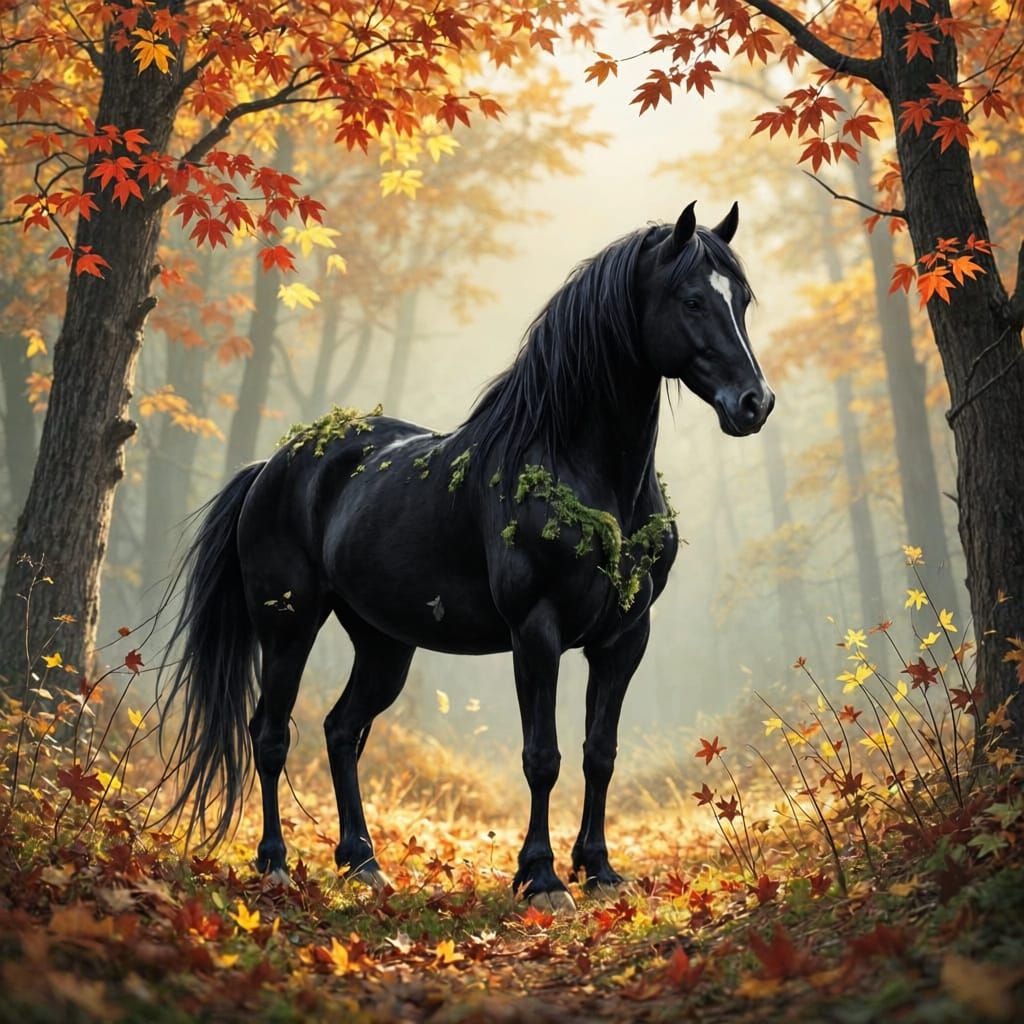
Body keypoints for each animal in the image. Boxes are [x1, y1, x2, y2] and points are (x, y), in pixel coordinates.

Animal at [159, 200, 774, 912]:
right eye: (693, 299)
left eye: (743, 299)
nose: (755, 403)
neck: (582, 467)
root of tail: (272, 467)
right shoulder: (536, 632)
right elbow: (543, 757)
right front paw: (540, 878)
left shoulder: (624, 636)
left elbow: (600, 752)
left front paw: (598, 869)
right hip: (288, 626)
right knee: (271, 734)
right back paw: (275, 864)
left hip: (384, 644)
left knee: (341, 730)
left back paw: (362, 862)